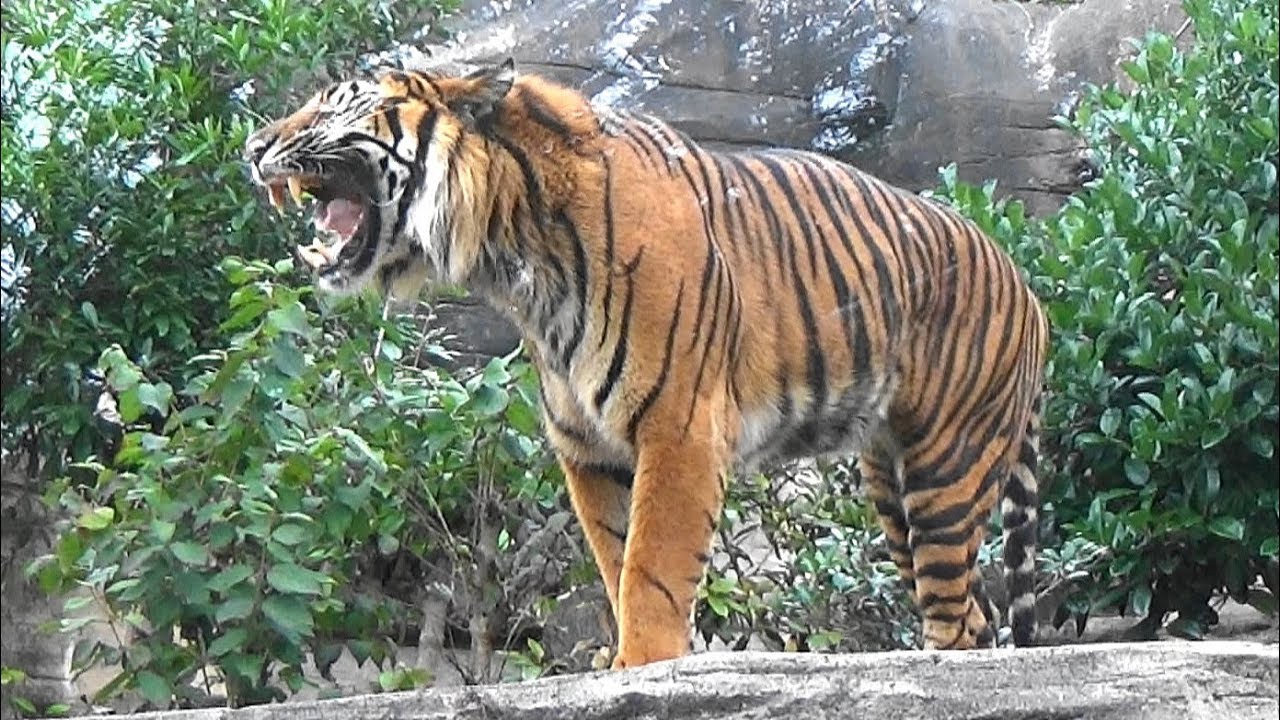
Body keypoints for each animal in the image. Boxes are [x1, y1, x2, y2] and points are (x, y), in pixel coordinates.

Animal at [241, 57, 1049, 666]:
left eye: (337, 102)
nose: (252, 145)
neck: (514, 256)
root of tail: (1030, 287)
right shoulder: (590, 449)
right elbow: (616, 557)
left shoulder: (680, 427)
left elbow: (653, 567)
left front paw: (642, 662)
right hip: (889, 482)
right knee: (974, 610)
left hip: (947, 466)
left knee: (960, 617)